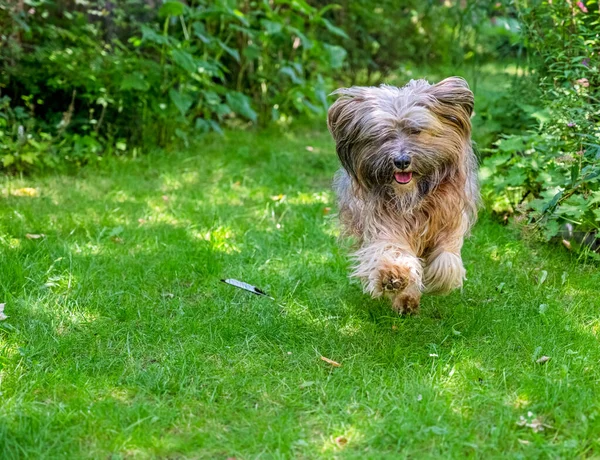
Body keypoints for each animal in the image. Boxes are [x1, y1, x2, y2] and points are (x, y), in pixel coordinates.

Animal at [328, 77, 478, 314]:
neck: (415, 196)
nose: (401, 161)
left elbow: (447, 258)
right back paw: (406, 298)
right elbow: (392, 249)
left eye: (415, 131)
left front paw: (438, 279)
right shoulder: (383, 221)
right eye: (383, 135)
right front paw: (394, 276)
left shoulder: (451, 217)